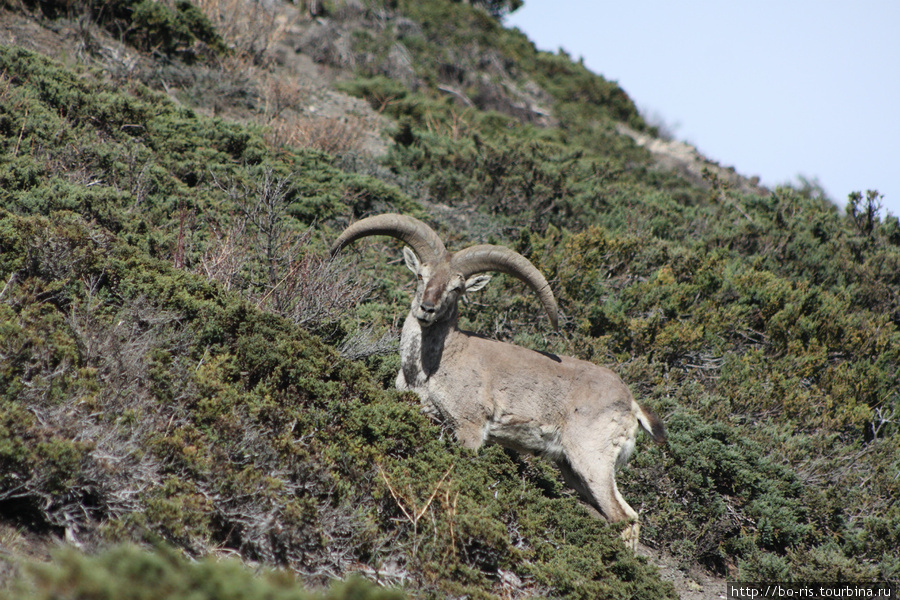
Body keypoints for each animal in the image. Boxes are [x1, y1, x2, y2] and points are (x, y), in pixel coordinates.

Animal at [332, 212, 668, 548]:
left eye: (457, 288)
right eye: (420, 276)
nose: (427, 309)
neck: (434, 364)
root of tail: (631, 404)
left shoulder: (469, 426)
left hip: (592, 459)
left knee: (625, 518)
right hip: (572, 468)